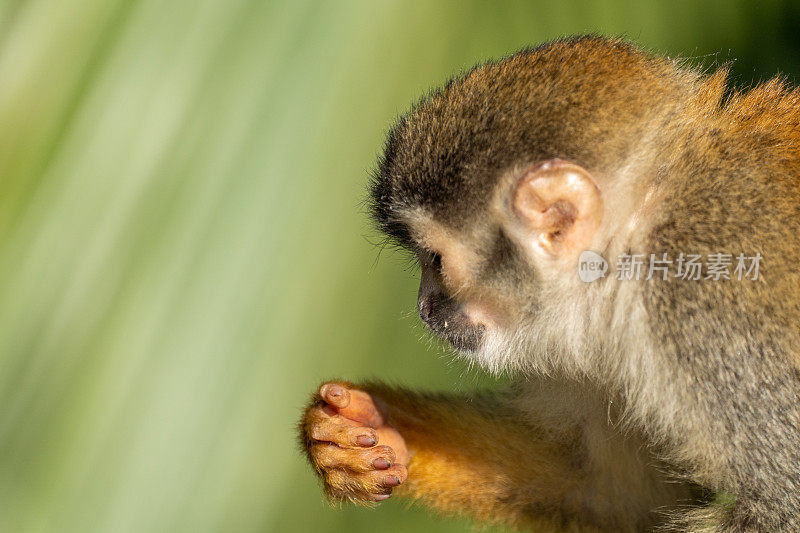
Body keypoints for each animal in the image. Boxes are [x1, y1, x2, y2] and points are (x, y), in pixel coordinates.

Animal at [296, 35, 800, 528]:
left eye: (435, 261)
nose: (424, 307)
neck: (630, 245)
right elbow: (611, 491)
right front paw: (369, 429)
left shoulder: (709, 311)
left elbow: (781, 508)